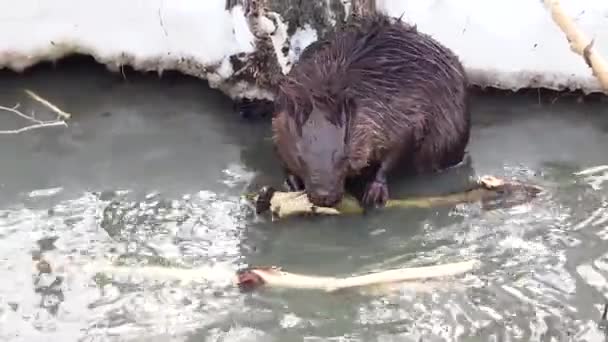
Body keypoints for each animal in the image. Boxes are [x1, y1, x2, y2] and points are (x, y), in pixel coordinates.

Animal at [270, 13, 470, 208]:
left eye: (344, 157)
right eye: (300, 158)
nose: (324, 197)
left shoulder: (403, 111)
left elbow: (397, 150)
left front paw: (374, 193)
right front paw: (292, 183)